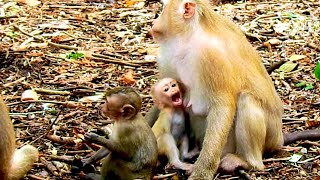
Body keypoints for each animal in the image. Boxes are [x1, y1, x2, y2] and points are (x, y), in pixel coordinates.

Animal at [150, 0, 284, 178]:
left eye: (163, 8)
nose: (155, 21)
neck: (190, 37)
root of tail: (279, 140)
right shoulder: (168, 55)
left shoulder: (212, 57)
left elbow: (222, 107)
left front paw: (202, 173)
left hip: (269, 135)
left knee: (246, 99)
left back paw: (247, 162)